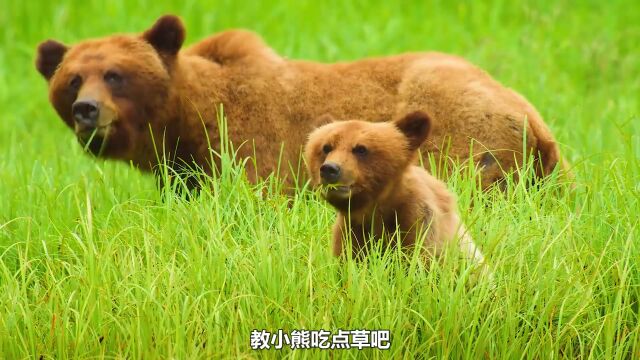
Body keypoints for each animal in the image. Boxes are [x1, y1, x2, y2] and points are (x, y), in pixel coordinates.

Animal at [35, 14, 564, 191]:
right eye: (73, 79)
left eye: (115, 74)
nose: (86, 109)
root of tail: (535, 120)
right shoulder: (187, 173)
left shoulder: (255, 145)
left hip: (462, 133)